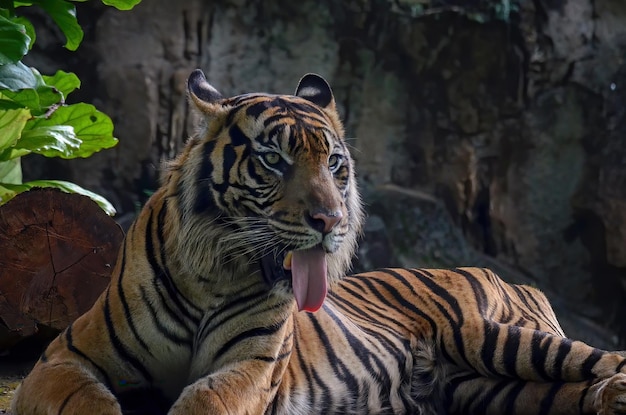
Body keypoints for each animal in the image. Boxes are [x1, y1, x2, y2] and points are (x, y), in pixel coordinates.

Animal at [9, 69, 626, 415]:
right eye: (273, 159)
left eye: (334, 163)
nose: (331, 221)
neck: (212, 275)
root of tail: (508, 275)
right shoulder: (66, 356)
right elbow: (85, 401)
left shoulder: (251, 365)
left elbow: (205, 399)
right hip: (490, 390)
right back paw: (608, 401)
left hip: (493, 336)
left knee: (605, 358)